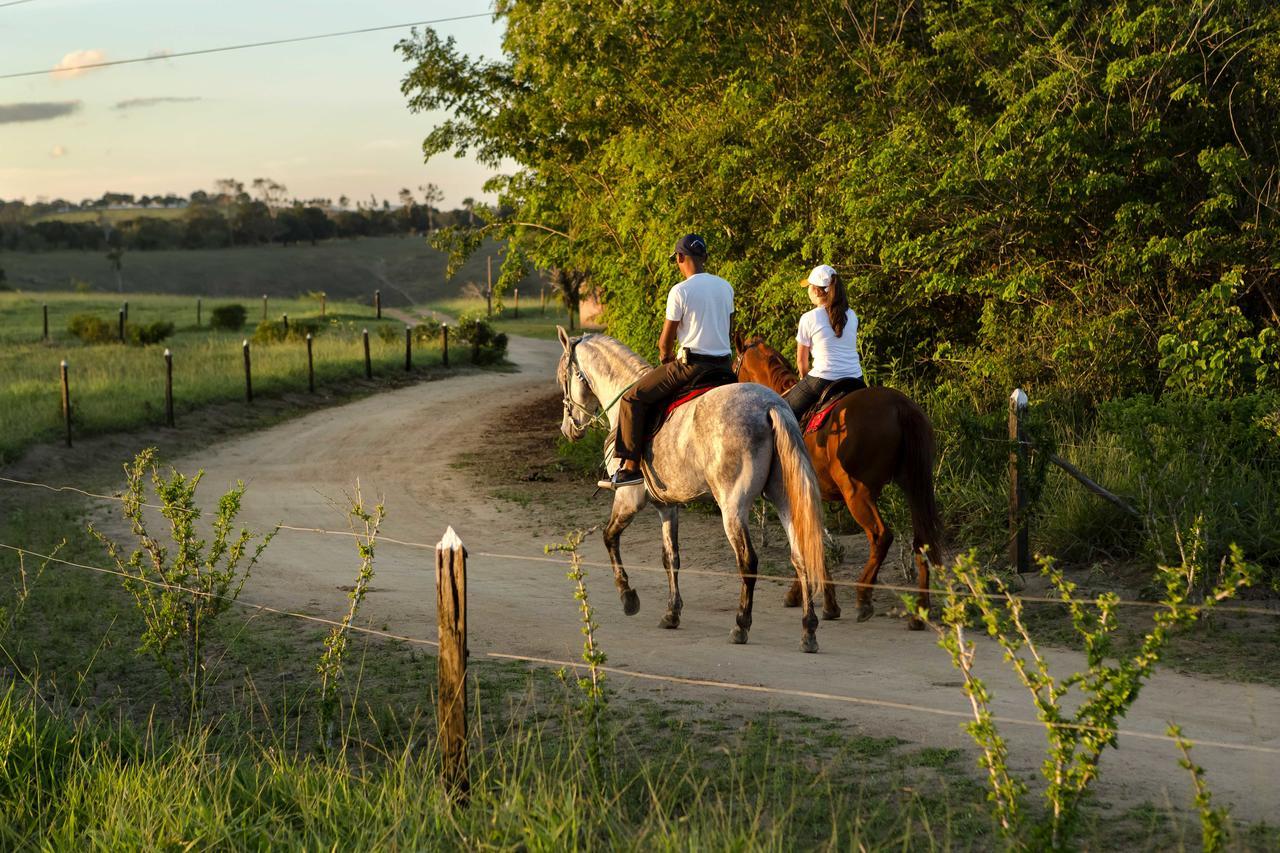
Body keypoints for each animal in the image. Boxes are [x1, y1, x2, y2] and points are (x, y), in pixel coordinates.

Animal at [552, 326, 839, 650]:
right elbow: (670, 558)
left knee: (748, 561)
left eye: (563, 378)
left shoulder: (629, 498)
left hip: (733, 507)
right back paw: (808, 630)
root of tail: (772, 406)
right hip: (785, 500)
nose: (568, 429)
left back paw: (741, 625)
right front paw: (671, 612)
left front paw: (628, 597)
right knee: (801, 557)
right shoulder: (667, 506)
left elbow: (609, 538)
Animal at [732, 335, 942, 627]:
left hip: (857, 492)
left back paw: (864, 597)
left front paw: (818, 599)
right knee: (921, 540)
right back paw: (919, 612)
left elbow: (806, 543)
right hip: (914, 486)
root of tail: (900, 407)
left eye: (734, 366)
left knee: (881, 537)